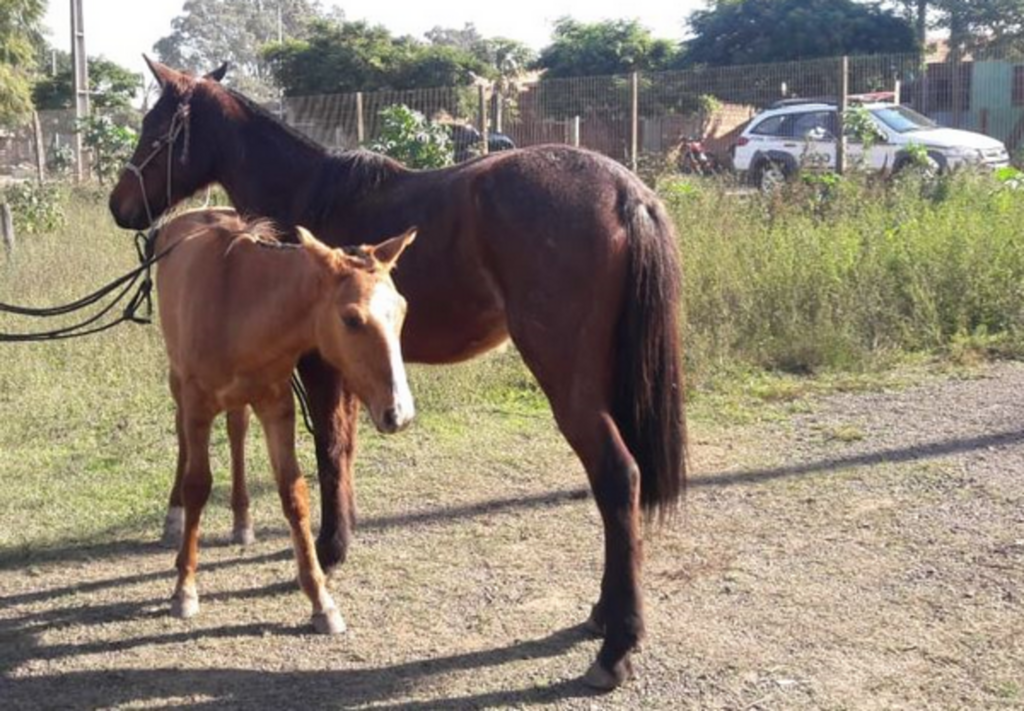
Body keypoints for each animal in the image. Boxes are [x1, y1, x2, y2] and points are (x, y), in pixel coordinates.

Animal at [155, 207, 411, 635]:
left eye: (403, 310)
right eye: (351, 319)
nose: (400, 413)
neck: (237, 303)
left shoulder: (277, 407)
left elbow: (294, 495)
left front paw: (321, 601)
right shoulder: (197, 406)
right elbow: (198, 486)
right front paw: (184, 588)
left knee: (237, 430)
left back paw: (242, 520)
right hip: (179, 383)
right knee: (181, 437)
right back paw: (174, 517)